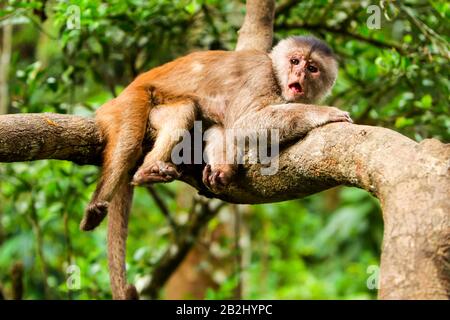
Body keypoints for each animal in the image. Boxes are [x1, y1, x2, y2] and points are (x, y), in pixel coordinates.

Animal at [80, 36, 352, 298]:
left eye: (312, 68)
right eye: (295, 61)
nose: (299, 75)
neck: (276, 75)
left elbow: (226, 130)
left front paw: (222, 169)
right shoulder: (260, 76)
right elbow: (244, 123)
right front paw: (323, 113)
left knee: (183, 111)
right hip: (125, 103)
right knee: (129, 141)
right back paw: (119, 188)